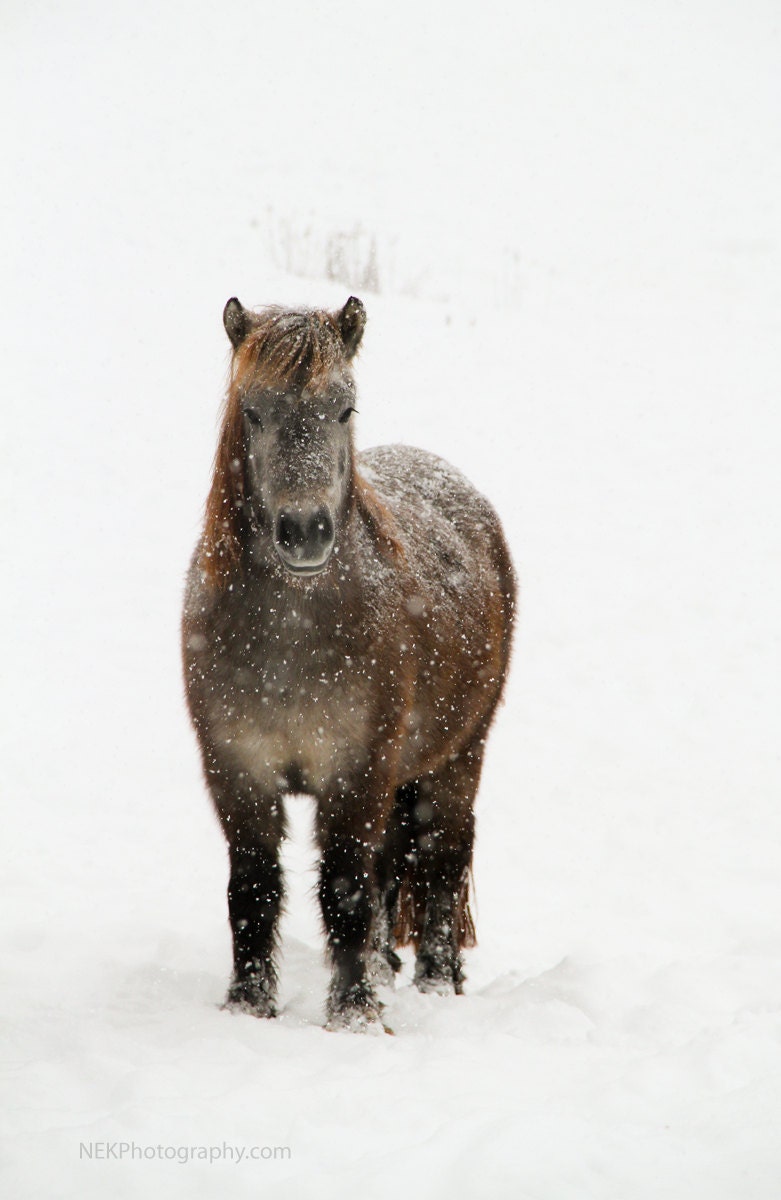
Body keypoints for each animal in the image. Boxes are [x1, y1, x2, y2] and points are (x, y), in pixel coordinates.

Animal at [181, 296, 516, 1031]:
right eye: (253, 411)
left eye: (345, 407)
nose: (304, 531)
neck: (289, 640)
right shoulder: (237, 772)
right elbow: (253, 890)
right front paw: (248, 1005)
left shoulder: (354, 774)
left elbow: (346, 891)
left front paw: (354, 1016)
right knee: (394, 862)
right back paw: (388, 970)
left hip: (458, 757)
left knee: (441, 858)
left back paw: (434, 983)